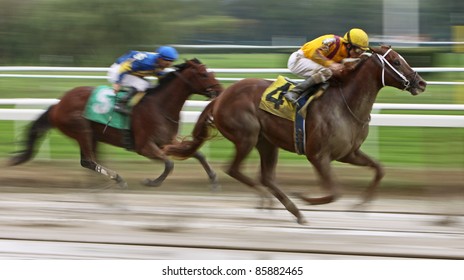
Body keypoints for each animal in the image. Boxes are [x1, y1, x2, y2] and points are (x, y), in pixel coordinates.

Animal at [8, 59, 223, 189]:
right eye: (204, 74)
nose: (220, 91)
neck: (160, 106)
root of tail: (57, 105)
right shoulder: (144, 146)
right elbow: (169, 164)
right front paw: (152, 182)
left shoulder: (166, 141)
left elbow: (198, 153)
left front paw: (213, 179)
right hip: (81, 129)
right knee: (88, 160)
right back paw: (117, 178)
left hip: (93, 135)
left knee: (91, 160)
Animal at [163, 46, 428, 225]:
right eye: (396, 61)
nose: (421, 83)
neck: (345, 104)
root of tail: (220, 97)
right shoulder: (318, 156)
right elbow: (334, 192)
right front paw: (307, 198)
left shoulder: (348, 153)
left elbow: (379, 168)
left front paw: (361, 204)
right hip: (247, 136)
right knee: (234, 169)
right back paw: (271, 200)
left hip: (267, 142)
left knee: (267, 176)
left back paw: (292, 210)